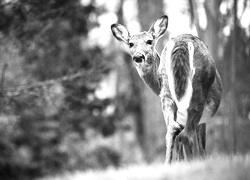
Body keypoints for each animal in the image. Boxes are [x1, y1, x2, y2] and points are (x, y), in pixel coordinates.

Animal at [110, 14, 222, 163]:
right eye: (130, 43)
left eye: (149, 41)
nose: (138, 56)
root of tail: (181, 45)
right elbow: (201, 146)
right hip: (197, 92)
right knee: (185, 135)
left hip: (167, 92)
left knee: (172, 130)